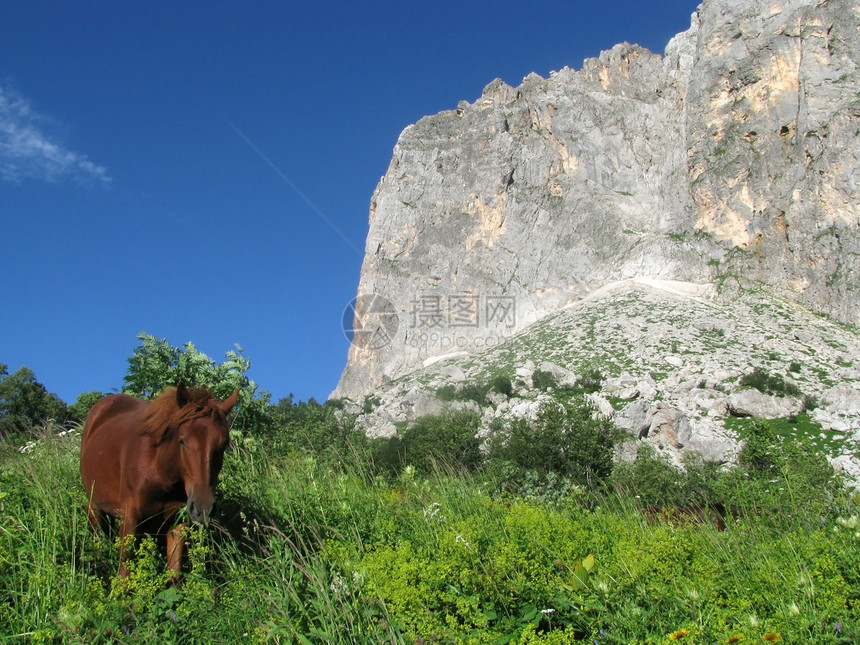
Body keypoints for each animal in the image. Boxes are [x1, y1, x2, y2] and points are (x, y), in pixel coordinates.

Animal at [81, 384, 239, 576]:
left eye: (224, 443)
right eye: (182, 441)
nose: (203, 508)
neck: (159, 471)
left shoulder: (176, 522)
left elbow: (174, 574)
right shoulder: (130, 519)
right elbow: (124, 572)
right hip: (94, 505)